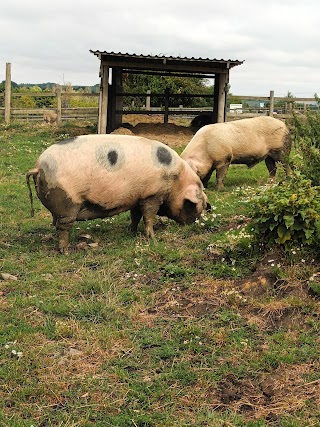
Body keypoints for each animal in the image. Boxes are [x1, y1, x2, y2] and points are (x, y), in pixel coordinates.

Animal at [26, 135, 209, 252]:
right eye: (197, 204)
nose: (193, 223)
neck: (176, 180)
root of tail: (38, 167)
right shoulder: (152, 195)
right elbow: (149, 216)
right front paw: (153, 237)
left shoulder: (137, 197)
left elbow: (136, 215)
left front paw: (131, 231)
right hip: (67, 202)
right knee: (63, 226)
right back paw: (65, 250)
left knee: (57, 224)